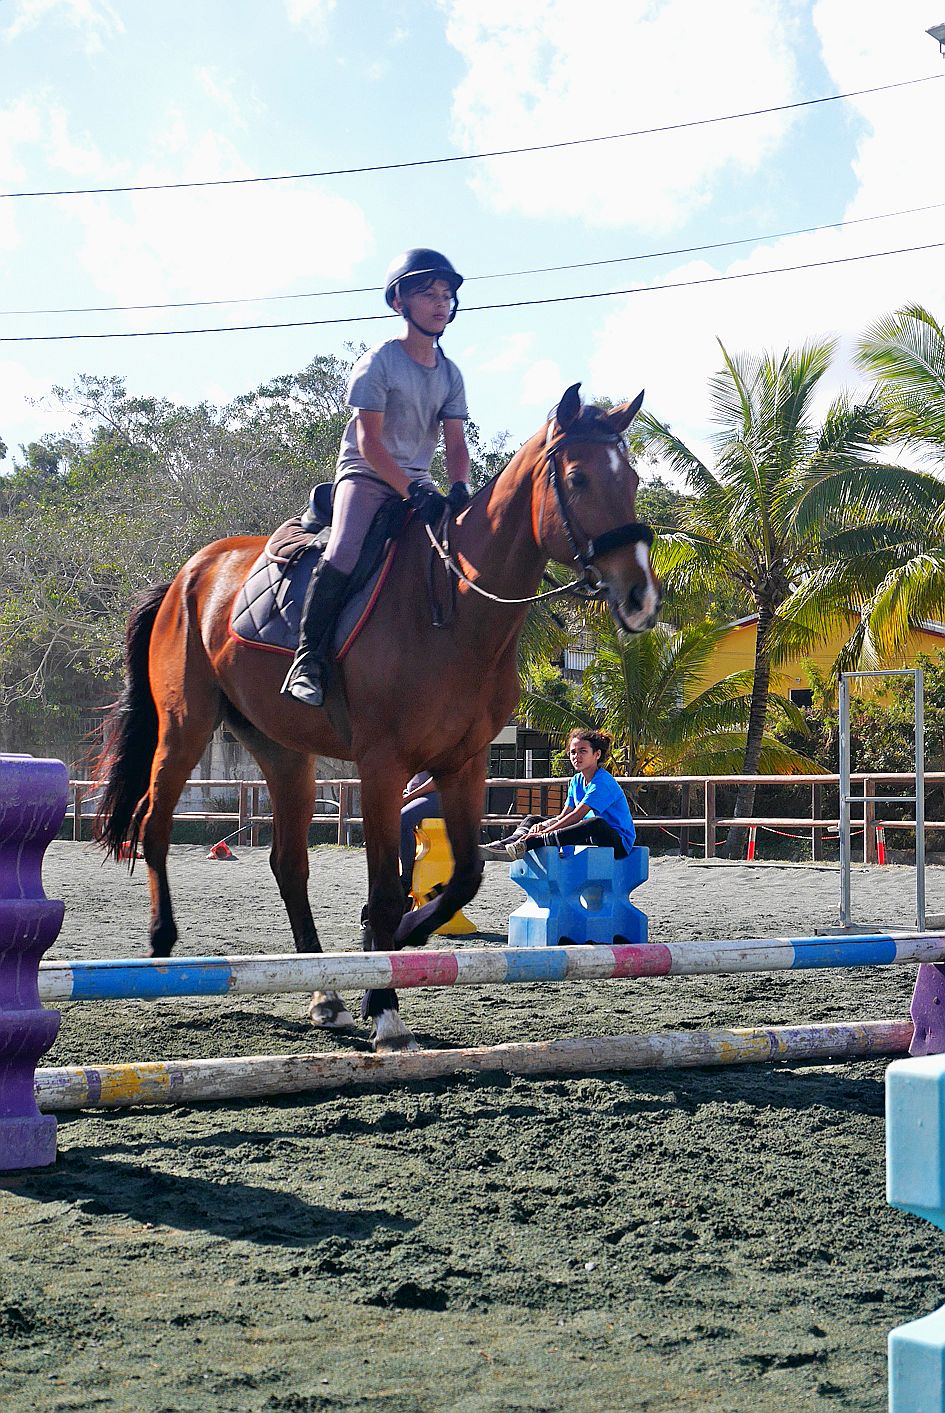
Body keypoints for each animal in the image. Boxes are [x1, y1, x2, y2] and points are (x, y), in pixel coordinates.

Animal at [93, 387, 655, 1051]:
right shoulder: (383, 766)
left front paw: (389, 950)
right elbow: (386, 888)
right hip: (185, 729)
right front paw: (383, 1003)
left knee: (288, 864)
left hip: (284, 752)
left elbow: (464, 876)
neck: (454, 609)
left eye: (633, 480)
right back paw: (162, 949)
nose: (641, 597)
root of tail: (190, 572)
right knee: (154, 826)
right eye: (578, 478)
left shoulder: (463, 763)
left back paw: (325, 995)